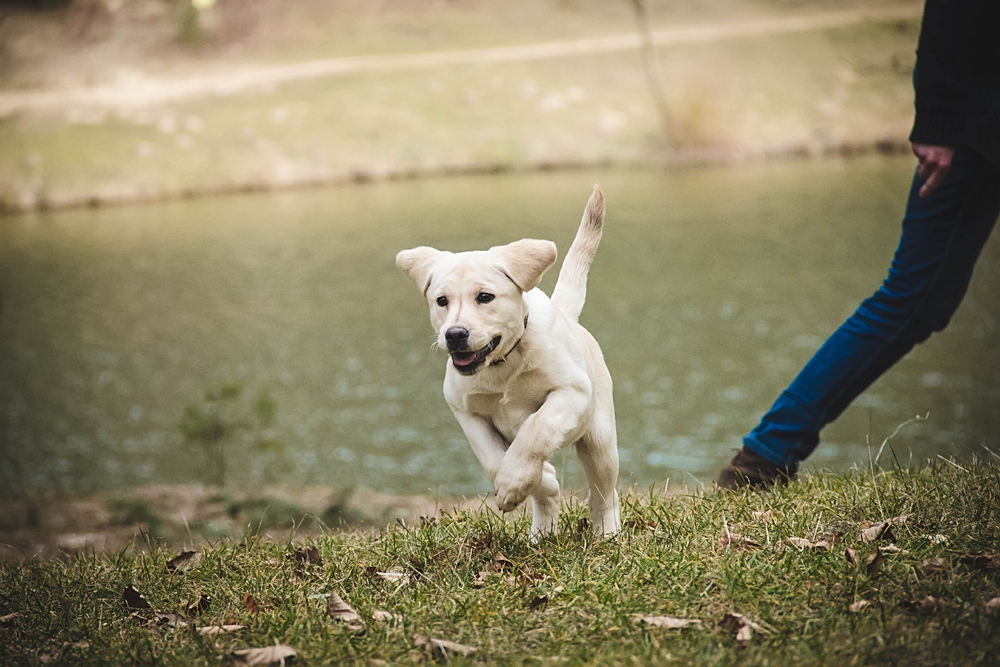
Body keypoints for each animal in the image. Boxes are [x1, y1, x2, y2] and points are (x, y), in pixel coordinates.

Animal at [396, 185, 616, 540]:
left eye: (485, 297)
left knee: (604, 493)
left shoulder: (572, 392)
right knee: (552, 497)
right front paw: (530, 481)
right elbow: (493, 460)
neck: (502, 366)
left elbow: (536, 428)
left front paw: (515, 481)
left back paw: (608, 533)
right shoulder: (466, 412)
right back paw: (542, 532)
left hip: (600, 439)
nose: (455, 334)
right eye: (441, 301)